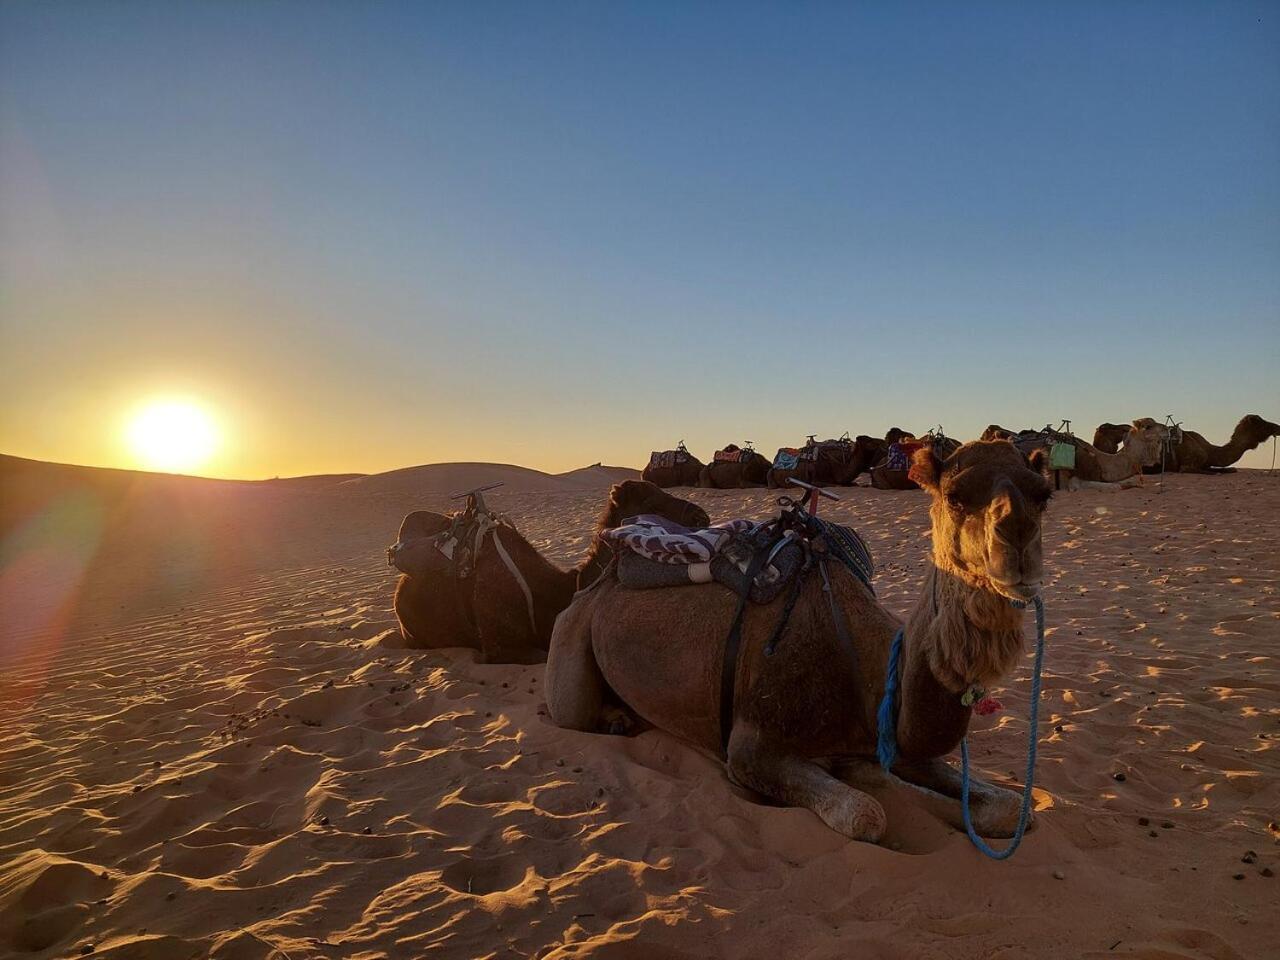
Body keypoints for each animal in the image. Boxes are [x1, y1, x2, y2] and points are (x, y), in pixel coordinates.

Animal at [547, 440, 1049, 844]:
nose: (1017, 540)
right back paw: (614, 719)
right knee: (570, 712)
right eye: (955, 495)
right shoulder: (750, 751)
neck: (863, 668)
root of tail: (601, 576)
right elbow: (866, 814)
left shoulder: (891, 742)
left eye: (1042, 495)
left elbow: (1012, 808)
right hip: (571, 635)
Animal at [1095, 414, 1274, 476]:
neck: (1209, 450)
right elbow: (1212, 473)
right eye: (1261, 423)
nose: (1277, 427)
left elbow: (1228, 469)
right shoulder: (1188, 465)